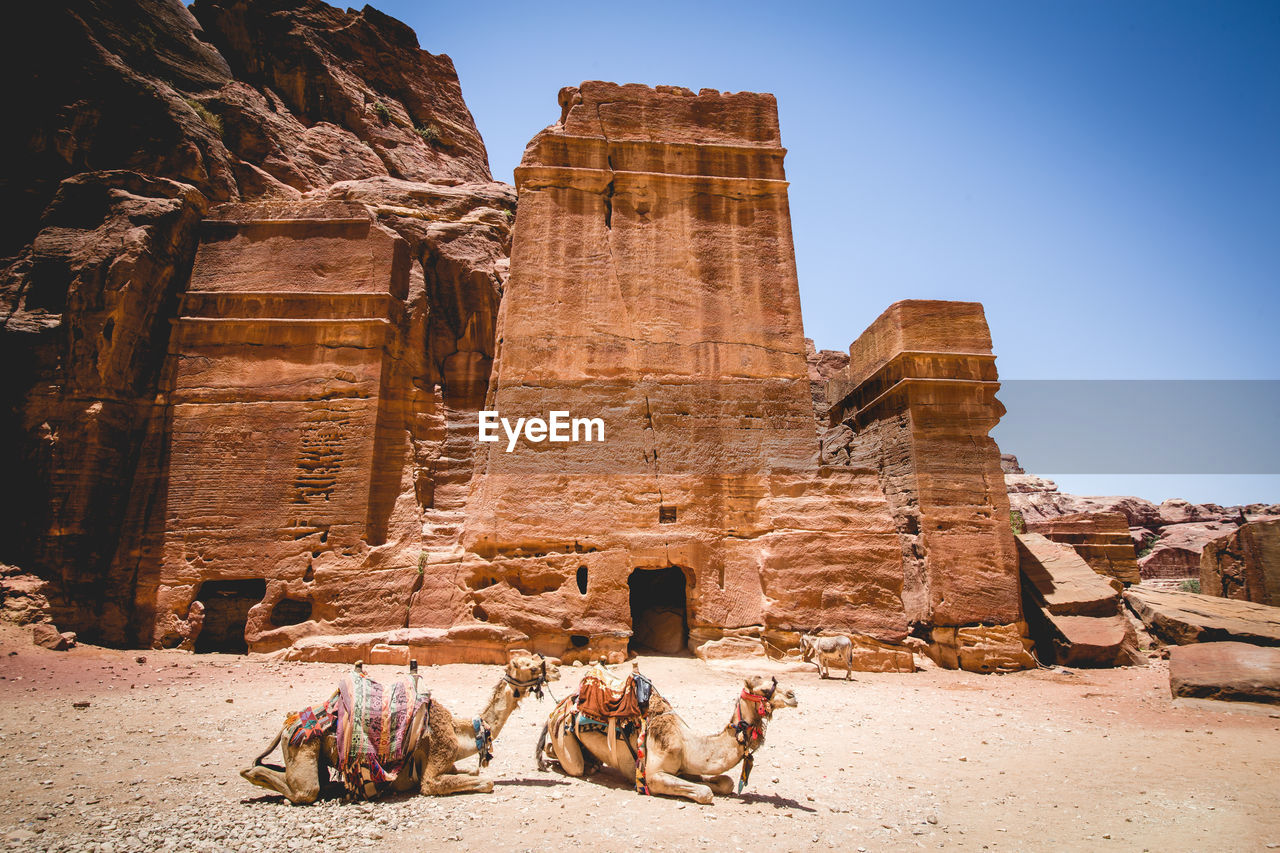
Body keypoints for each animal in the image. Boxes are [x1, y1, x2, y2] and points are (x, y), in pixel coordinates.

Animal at [240, 650, 560, 804]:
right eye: (532, 666)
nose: (556, 669)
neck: (464, 732)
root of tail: (289, 725)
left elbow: (473, 773)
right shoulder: (435, 766)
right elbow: (483, 781)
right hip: (304, 744)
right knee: (304, 790)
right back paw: (252, 775)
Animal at [535, 671, 793, 804]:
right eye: (764, 689)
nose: (793, 695)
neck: (688, 742)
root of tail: (563, 703)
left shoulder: (685, 766)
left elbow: (726, 782)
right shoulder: (653, 775)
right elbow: (705, 792)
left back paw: (593, 763)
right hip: (562, 736)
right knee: (570, 762)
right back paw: (581, 765)